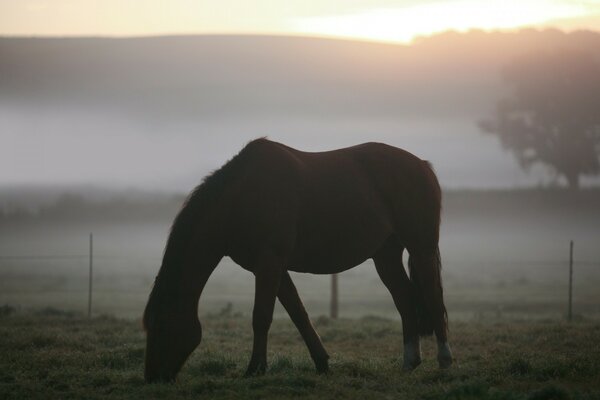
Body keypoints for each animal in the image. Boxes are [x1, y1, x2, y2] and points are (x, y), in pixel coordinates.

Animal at [143, 139, 452, 382]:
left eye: (160, 326)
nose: (152, 377)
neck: (243, 197)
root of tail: (422, 165)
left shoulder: (269, 262)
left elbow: (261, 316)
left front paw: (254, 369)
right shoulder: (272, 267)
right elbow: (298, 314)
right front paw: (322, 363)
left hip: (421, 248)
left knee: (433, 297)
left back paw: (445, 361)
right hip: (385, 256)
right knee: (405, 300)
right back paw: (410, 362)